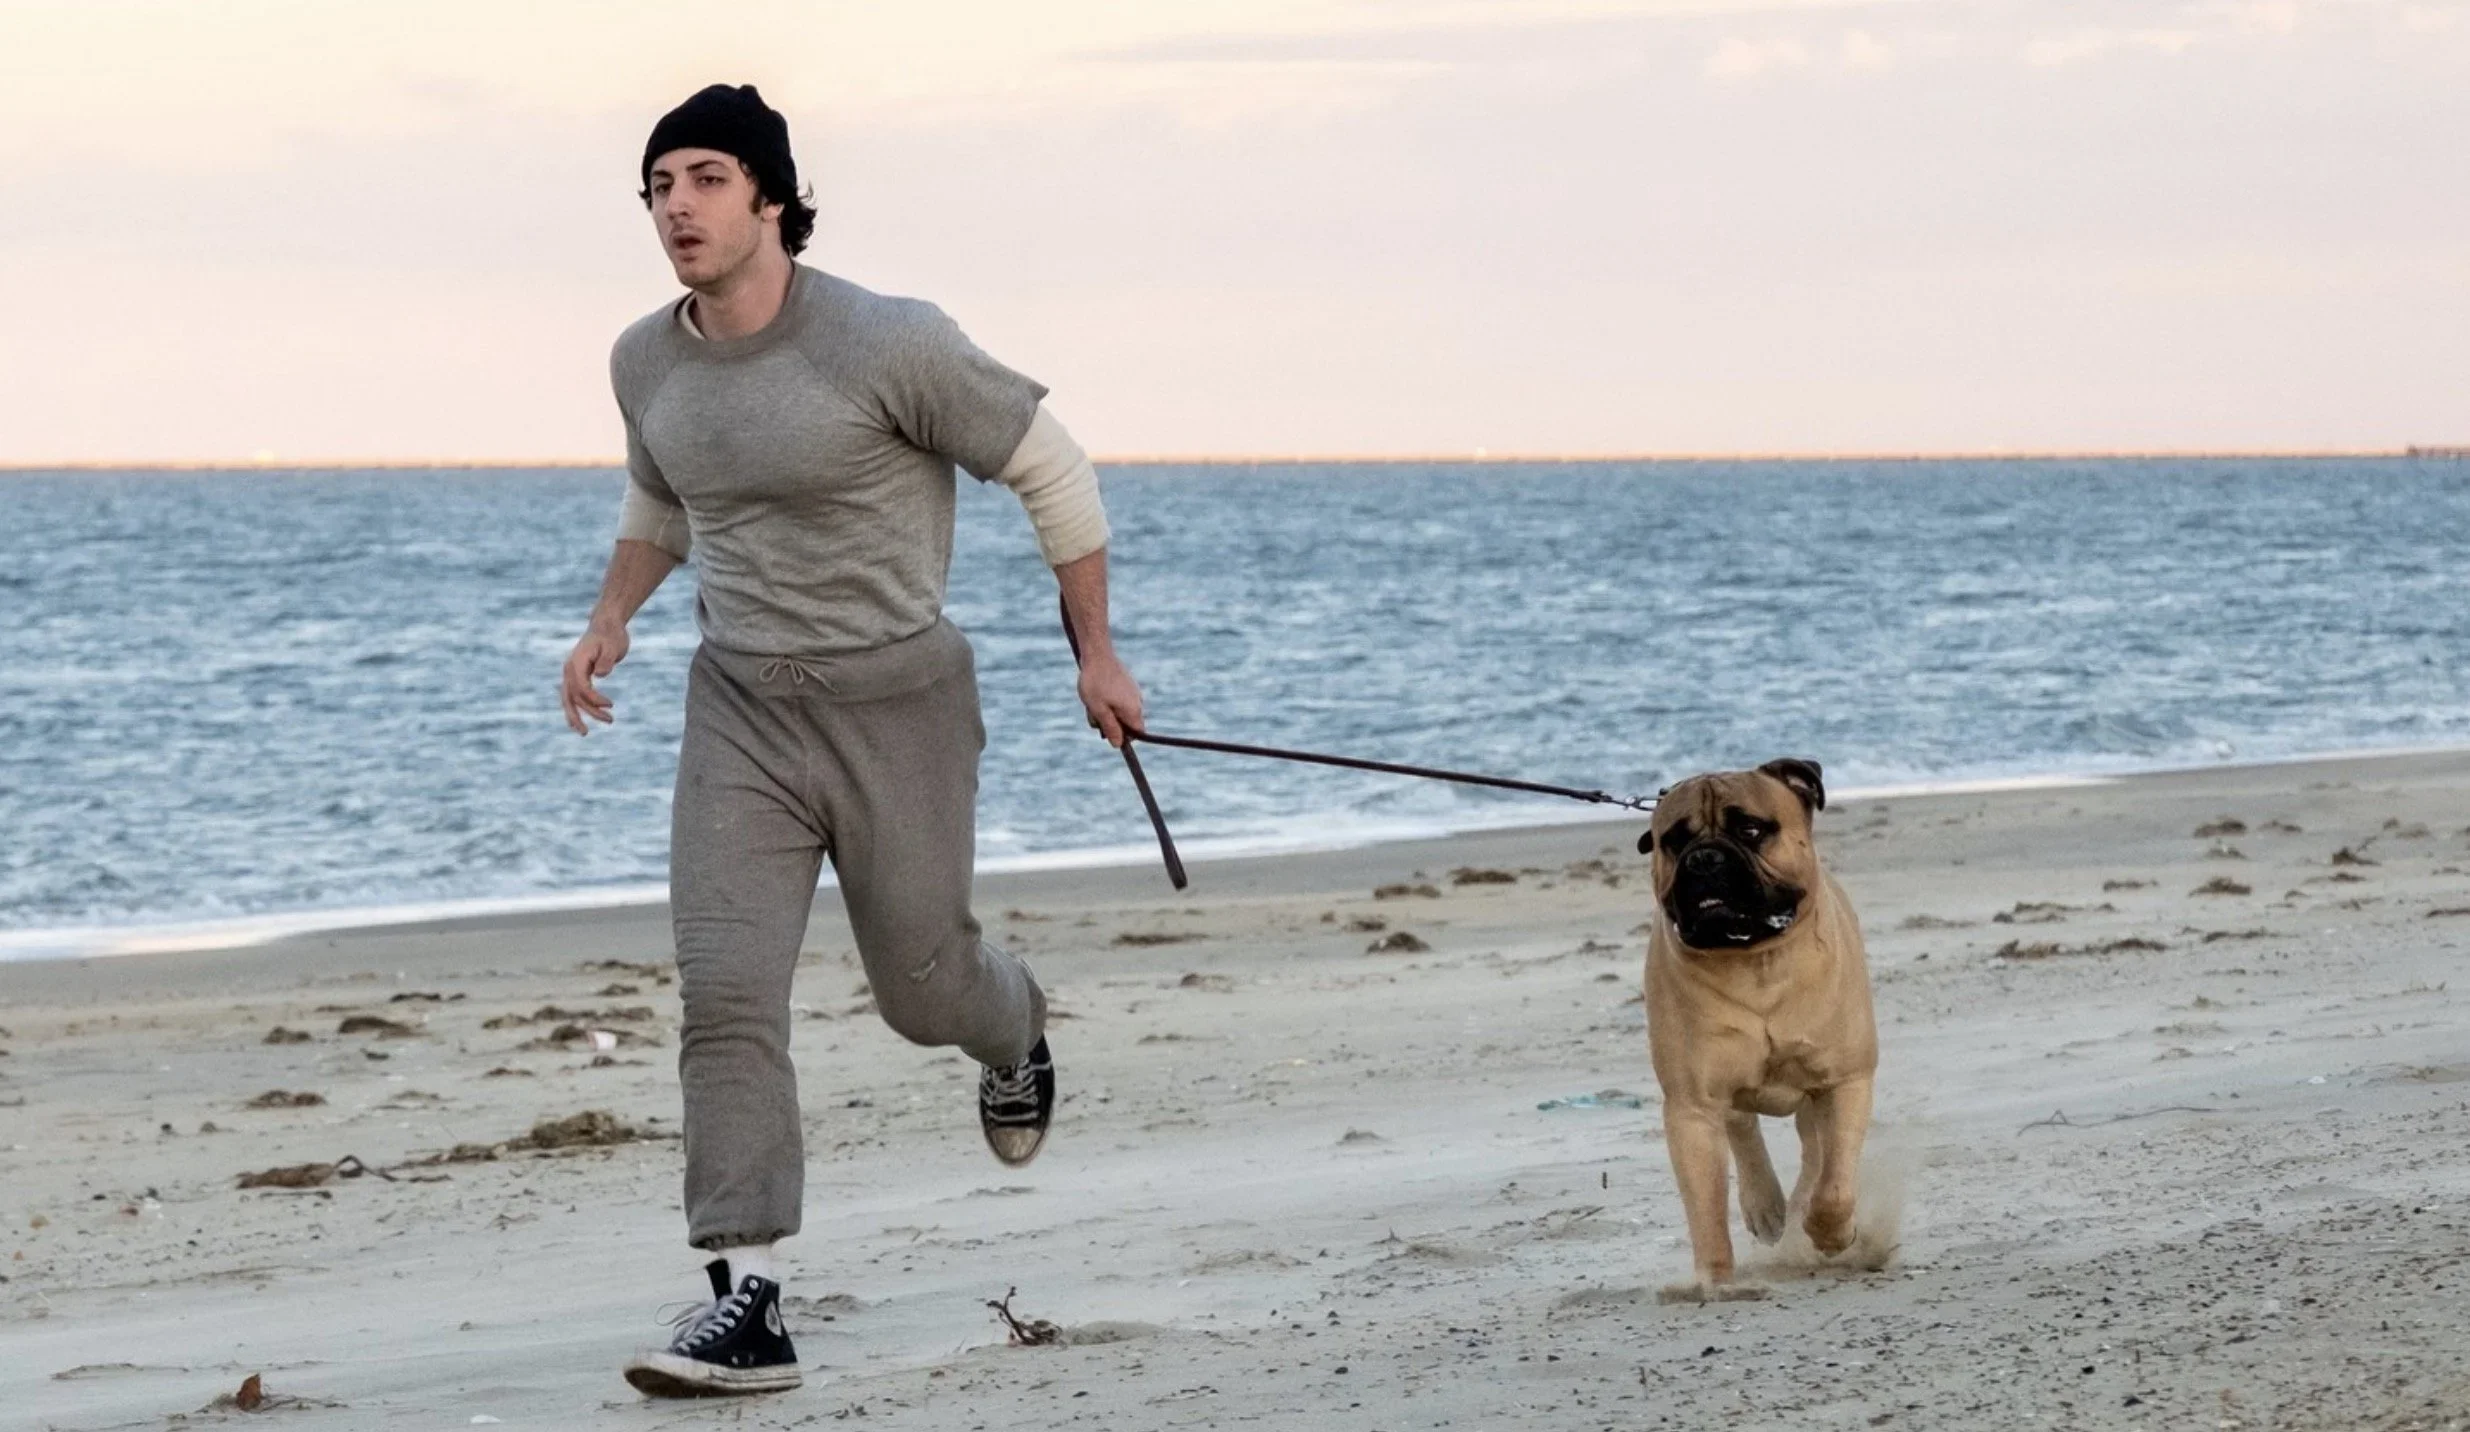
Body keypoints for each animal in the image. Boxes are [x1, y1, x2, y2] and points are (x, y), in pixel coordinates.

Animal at [1640, 758, 1876, 1302]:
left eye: (1751, 829)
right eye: (1674, 840)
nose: (1704, 858)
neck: (1754, 960)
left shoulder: (1845, 1081)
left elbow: (1835, 1181)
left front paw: (1830, 1233)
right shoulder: (1691, 1107)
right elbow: (1705, 1204)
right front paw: (1716, 1282)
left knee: (1815, 1153)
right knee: (1743, 1131)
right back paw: (1765, 1206)